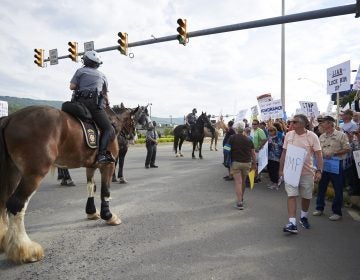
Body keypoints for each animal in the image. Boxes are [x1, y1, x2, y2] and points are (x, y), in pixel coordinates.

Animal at [0, 104, 138, 264]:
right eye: (134, 119)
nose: (134, 136)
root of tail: (10, 118)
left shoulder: (91, 166)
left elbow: (91, 187)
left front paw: (91, 212)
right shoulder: (108, 166)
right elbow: (105, 191)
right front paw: (108, 216)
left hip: (13, 172)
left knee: (3, 202)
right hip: (33, 174)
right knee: (16, 205)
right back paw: (26, 249)